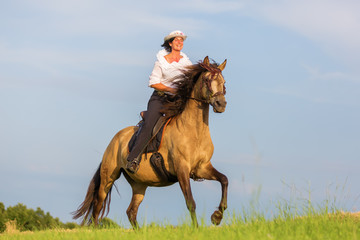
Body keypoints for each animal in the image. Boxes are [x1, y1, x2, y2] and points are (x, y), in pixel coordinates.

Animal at [74, 56, 228, 229]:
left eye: (224, 82)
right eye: (207, 80)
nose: (221, 104)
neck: (195, 132)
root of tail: (115, 139)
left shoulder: (202, 168)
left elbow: (224, 180)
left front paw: (217, 216)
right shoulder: (182, 169)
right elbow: (190, 202)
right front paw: (197, 228)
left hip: (139, 184)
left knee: (131, 211)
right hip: (108, 177)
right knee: (98, 205)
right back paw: (95, 228)